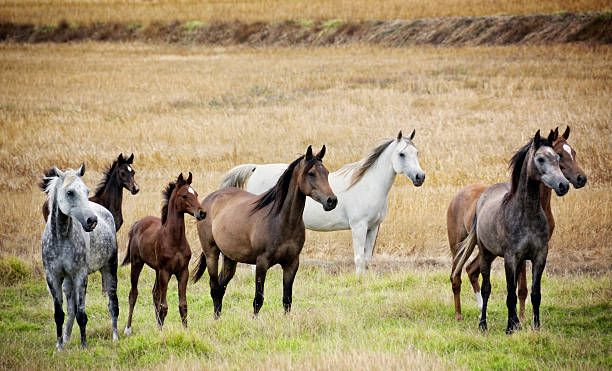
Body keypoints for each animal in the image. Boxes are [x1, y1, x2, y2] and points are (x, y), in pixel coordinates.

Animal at [39, 164, 119, 350]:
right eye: (70, 192)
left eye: (86, 190)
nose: (92, 220)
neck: (61, 238)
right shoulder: (53, 277)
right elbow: (59, 314)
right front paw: (59, 346)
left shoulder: (80, 276)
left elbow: (82, 314)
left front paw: (84, 347)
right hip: (68, 282)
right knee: (71, 310)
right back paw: (67, 339)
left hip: (109, 268)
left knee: (113, 304)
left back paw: (115, 337)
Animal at [122, 174, 206, 334]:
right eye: (184, 196)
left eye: (196, 194)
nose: (202, 213)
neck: (174, 240)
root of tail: (137, 224)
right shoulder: (165, 272)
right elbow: (164, 306)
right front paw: (161, 332)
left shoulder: (182, 272)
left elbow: (183, 305)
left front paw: (184, 330)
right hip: (137, 263)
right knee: (133, 293)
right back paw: (128, 329)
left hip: (156, 269)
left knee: (155, 294)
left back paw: (157, 325)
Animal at [194, 147, 338, 318]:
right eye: (311, 173)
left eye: (327, 172)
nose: (332, 201)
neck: (280, 220)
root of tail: (208, 200)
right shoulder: (261, 263)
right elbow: (258, 300)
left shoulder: (292, 263)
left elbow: (287, 300)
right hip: (211, 254)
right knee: (214, 287)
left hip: (230, 258)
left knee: (221, 287)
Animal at [220, 132, 426, 278]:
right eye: (401, 154)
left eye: (416, 153)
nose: (420, 177)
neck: (368, 184)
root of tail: (256, 168)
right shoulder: (358, 226)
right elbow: (359, 258)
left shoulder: (373, 227)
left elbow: (367, 259)